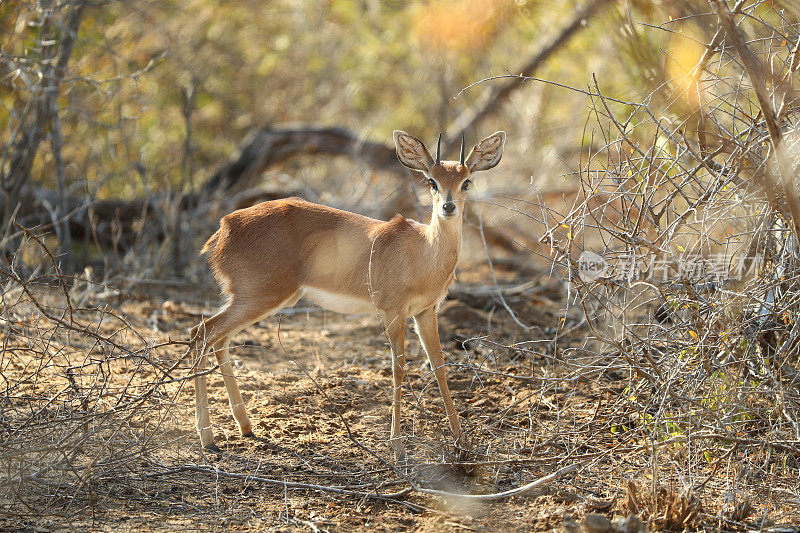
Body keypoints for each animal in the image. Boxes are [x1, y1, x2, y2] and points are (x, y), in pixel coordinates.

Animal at [191, 129, 506, 458]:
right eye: (431, 181)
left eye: (466, 181)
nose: (448, 207)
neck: (423, 253)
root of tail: (222, 230)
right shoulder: (393, 311)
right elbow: (398, 367)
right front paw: (397, 445)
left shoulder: (425, 311)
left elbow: (440, 365)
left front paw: (461, 439)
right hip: (259, 296)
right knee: (201, 332)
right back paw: (207, 438)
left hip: (265, 299)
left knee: (217, 339)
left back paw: (245, 427)